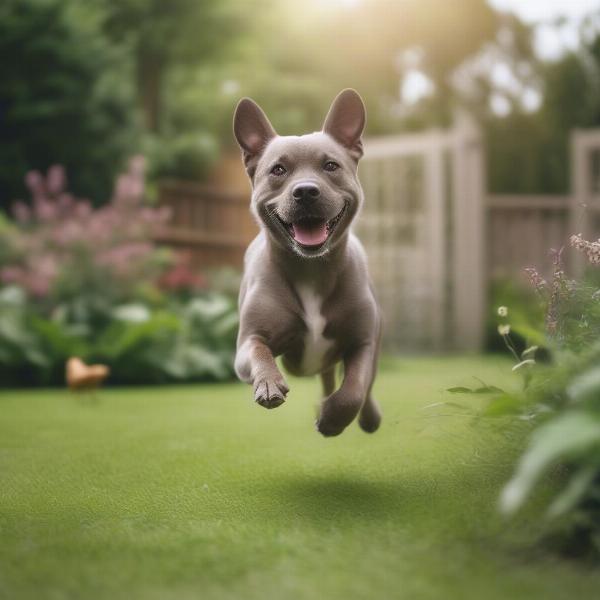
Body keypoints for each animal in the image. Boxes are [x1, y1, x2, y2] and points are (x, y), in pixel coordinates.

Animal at [233, 89, 380, 436]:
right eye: (277, 170)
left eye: (330, 165)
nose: (305, 191)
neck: (312, 268)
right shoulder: (248, 342)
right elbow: (258, 350)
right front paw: (268, 383)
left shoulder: (363, 343)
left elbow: (354, 389)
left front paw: (333, 419)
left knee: (362, 387)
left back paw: (367, 417)